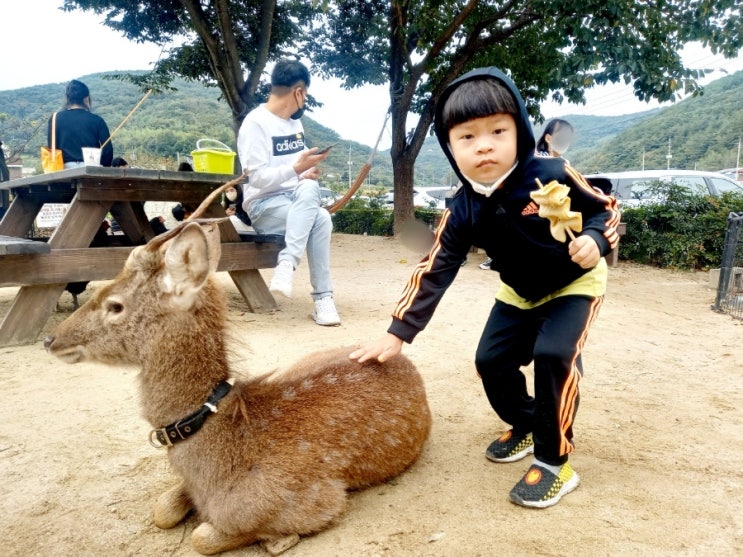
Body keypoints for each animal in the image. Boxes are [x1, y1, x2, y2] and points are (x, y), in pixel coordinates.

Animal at [43, 177, 434, 552]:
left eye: (115, 305)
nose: (51, 339)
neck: (218, 458)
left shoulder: (320, 499)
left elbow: (203, 536)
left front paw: (277, 539)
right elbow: (162, 510)